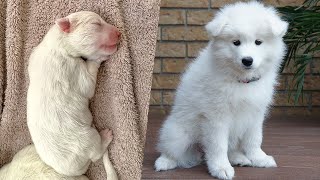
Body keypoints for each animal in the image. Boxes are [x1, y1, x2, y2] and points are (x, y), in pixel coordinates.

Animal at [26, 11, 120, 179]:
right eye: (96, 24)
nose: (119, 33)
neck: (56, 45)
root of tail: (75, 170)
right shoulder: (72, 69)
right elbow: (88, 86)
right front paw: (99, 57)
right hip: (87, 138)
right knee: (96, 153)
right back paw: (106, 136)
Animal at [154, 1, 288, 180]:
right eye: (236, 42)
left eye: (258, 42)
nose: (247, 60)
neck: (241, 81)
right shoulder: (216, 116)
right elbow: (218, 145)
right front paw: (221, 168)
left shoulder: (255, 113)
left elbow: (254, 139)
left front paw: (259, 158)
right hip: (179, 133)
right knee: (170, 149)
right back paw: (164, 162)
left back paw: (239, 158)